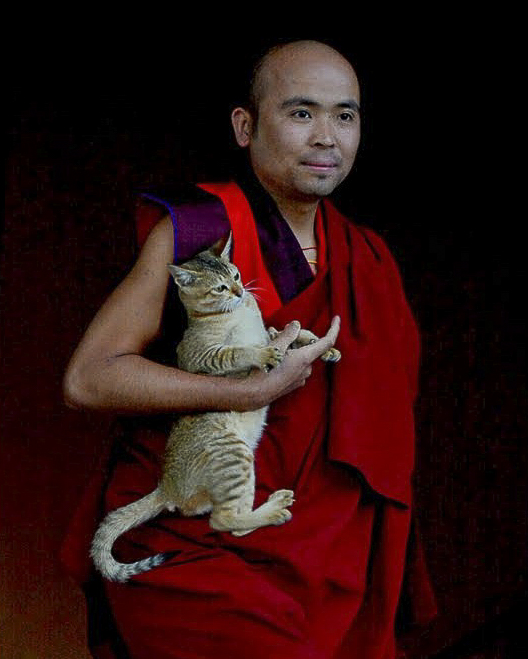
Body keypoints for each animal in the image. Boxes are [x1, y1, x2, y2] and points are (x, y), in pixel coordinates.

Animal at [90, 234, 341, 582]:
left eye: (235, 275)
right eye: (220, 288)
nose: (240, 291)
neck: (239, 311)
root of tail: (167, 487)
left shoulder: (268, 330)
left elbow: (286, 332)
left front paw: (322, 346)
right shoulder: (202, 356)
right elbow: (238, 351)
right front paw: (265, 355)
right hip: (233, 454)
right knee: (225, 523)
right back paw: (274, 510)